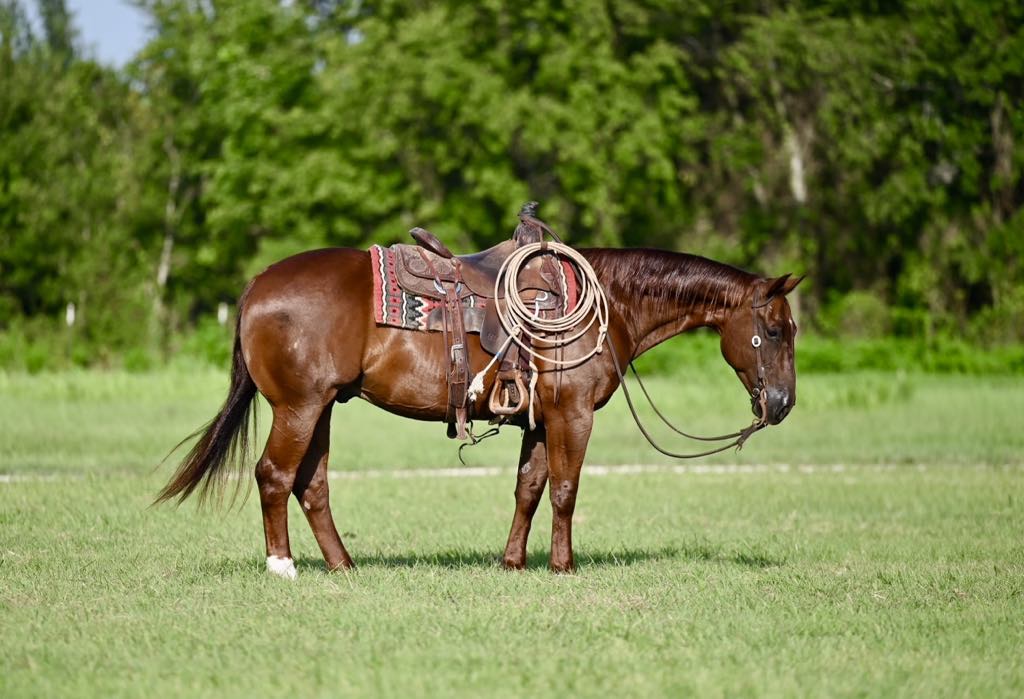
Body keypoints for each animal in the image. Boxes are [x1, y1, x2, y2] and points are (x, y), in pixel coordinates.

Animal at [157, 245, 801, 576]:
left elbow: (529, 488)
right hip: (298, 405)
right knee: (274, 476)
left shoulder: (541, 421)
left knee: (311, 484)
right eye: (774, 330)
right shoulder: (573, 415)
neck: (609, 303)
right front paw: (563, 567)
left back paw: (343, 566)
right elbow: (565, 490)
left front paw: (513, 562)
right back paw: (283, 566)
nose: (782, 404)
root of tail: (258, 284)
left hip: (322, 408)